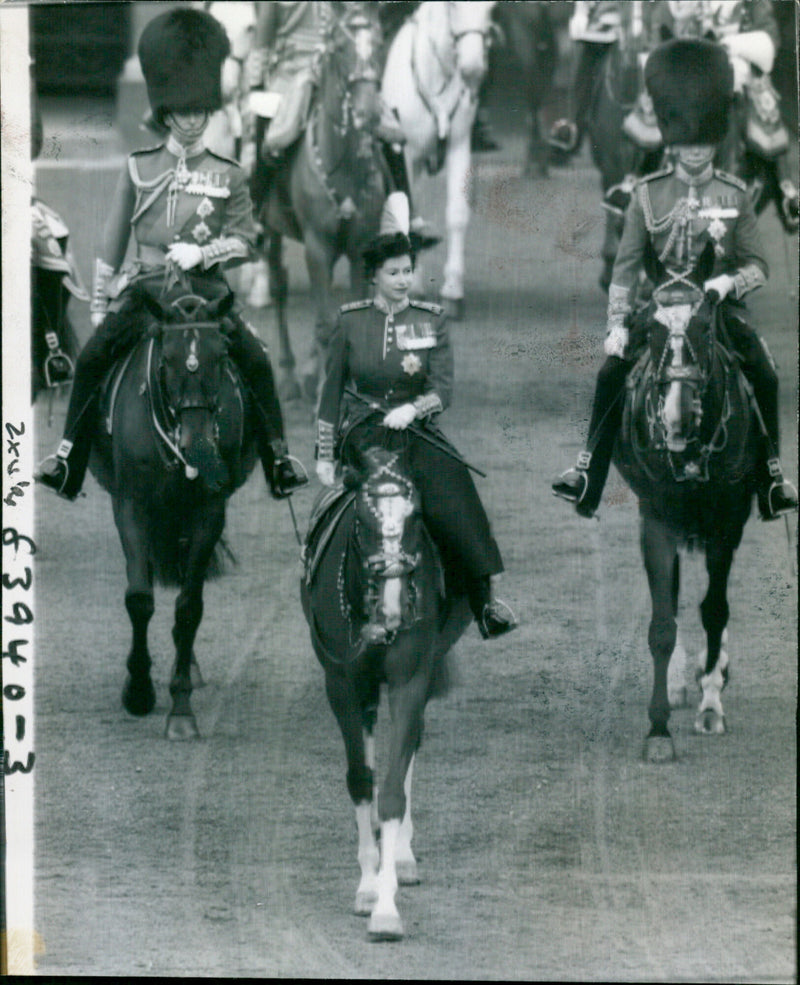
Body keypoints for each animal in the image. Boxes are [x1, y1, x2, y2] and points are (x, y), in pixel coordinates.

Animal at [89, 272, 255, 736]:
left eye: (222, 356)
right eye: (166, 360)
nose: (198, 446)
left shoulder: (208, 513)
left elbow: (188, 607)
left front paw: (180, 708)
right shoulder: (130, 507)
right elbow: (139, 599)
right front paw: (138, 691)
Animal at [252, 3, 386, 402]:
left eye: (379, 43)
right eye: (341, 50)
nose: (369, 113)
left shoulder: (358, 247)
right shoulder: (316, 246)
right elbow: (327, 324)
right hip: (273, 230)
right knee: (280, 289)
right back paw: (289, 376)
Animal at [304, 446, 472, 936]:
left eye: (416, 517)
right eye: (362, 520)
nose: (394, 614)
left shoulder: (409, 681)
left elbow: (394, 788)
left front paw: (386, 906)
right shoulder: (343, 686)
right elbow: (362, 779)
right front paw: (367, 887)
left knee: (410, 745)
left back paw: (400, 856)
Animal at [384, 0, 496, 320]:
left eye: (491, 8)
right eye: (453, 6)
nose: (473, 68)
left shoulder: (459, 145)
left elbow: (456, 214)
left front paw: (453, 291)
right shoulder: (406, 154)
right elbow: (408, 215)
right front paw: (412, 284)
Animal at [616, 274, 760, 760]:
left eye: (704, 330)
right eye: (651, 332)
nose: (676, 420)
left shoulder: (728, 520)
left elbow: (715, 610)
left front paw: (711, 703)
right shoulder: (656, 519)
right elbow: (663, 622)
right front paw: (658, 730)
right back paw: (681, 680)